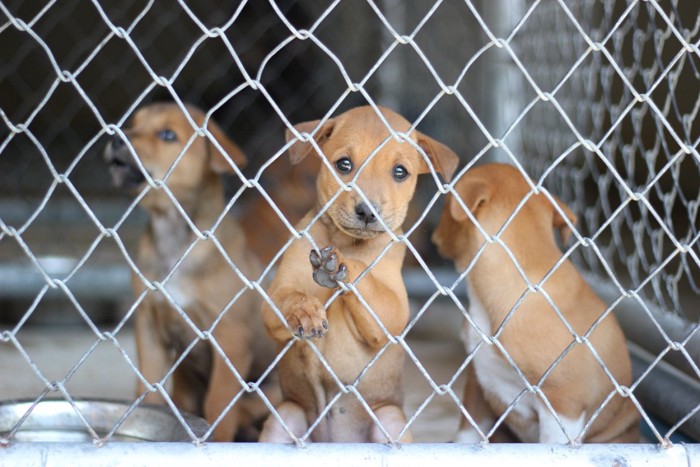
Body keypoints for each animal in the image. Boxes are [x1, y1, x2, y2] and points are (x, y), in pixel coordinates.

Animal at [104, 102, 274, 442]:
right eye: (133, 124)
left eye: (168, 135)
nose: (116, 138)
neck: (173, 238)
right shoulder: (149, 324)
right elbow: (149, 387)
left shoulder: (230, 335)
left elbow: (218, 404)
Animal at [258, 105, 460, 442]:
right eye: (344, 164)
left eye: (400, 172)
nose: (367, 211)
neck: (345, 240)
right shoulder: (275, 296)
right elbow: (288, 297)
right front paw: (305, 311)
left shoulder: (394, 312)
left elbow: (365, 277)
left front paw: (340, 265)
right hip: (285, 417)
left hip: (390, 420)